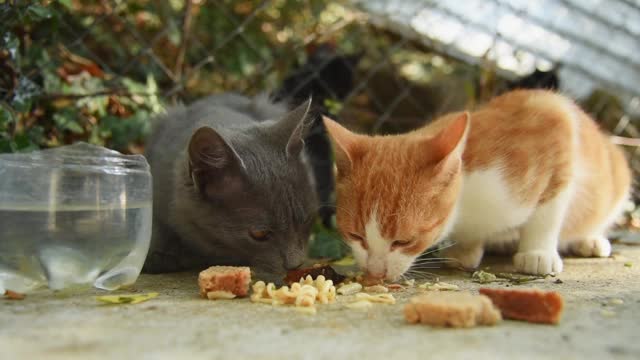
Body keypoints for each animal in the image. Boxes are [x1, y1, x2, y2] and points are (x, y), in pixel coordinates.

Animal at [322, 88, 632, 280]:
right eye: (355, 235)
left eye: (404, 241)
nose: (375, 273)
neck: (467, 205)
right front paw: (466, 249)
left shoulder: (554, 121)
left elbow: (548, 210)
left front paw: (538, 252)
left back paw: (590, 239)